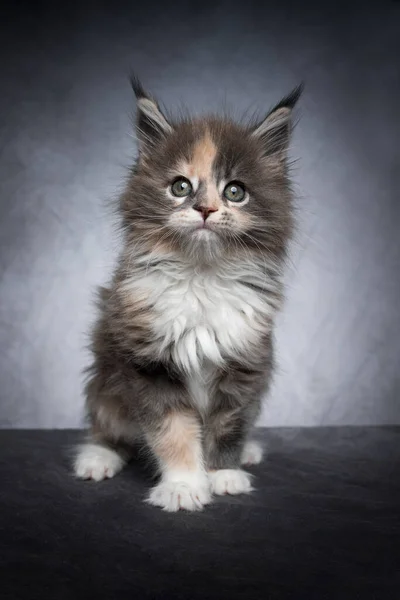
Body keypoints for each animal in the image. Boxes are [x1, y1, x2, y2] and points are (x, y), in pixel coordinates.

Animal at [73, 76, 302, 510]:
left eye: (235, 192)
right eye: (180, 187)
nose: (206, 210)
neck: (202, 277)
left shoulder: (245, 362)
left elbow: (228, 425)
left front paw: (223, 474)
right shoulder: (148, 362)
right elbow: (173, 430)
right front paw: (183, 486)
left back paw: (248, 452)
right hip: (106, 379)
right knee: (107, 425)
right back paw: (97, 457)